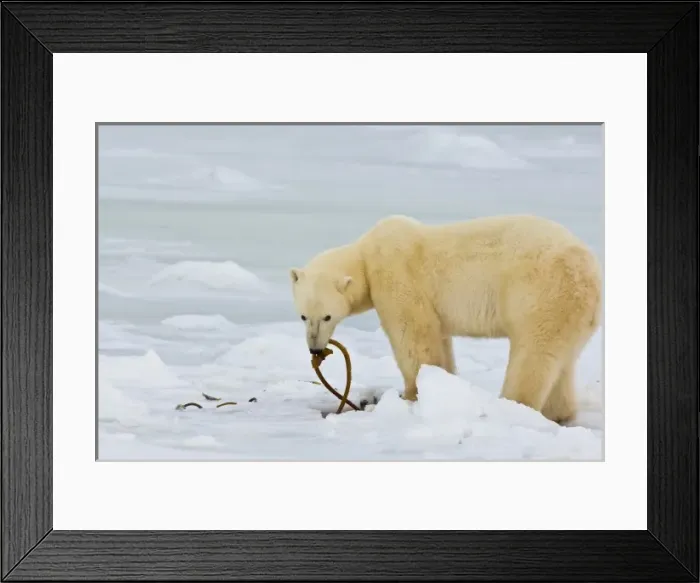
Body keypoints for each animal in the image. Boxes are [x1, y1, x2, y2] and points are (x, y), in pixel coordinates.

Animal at [289, 214, 602, 424]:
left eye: (327, 316)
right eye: (303, 316)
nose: (315, 348)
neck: (366, 255)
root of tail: (589, 273)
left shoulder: (397, 275)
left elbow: (413, 336)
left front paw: (412, 396)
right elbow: (439, 338)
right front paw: (443, 386)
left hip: (540, 294)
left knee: (533, 355)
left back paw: (513, 406)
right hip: (571, 311)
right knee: (562, 360)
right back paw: (558, 413)